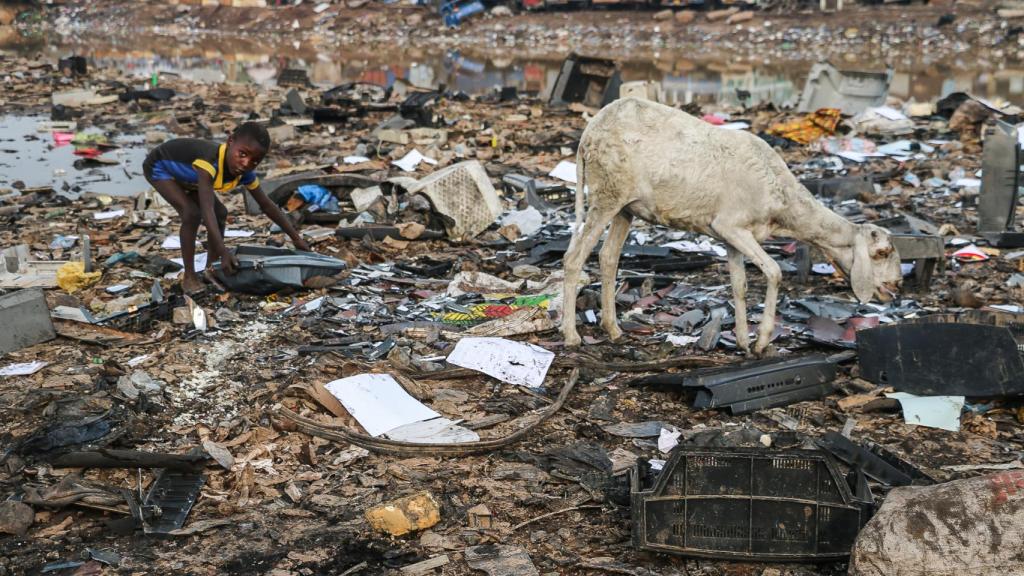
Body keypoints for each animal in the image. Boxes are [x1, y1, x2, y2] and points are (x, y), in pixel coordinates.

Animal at [561, 98, 905, 354]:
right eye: (881, 253)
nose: (897, 286)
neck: (784, 202)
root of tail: (589, 131)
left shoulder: (729, 236)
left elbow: (739, 285)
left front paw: (741, 340)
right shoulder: (732, 226)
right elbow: (773, 272)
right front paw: (762, 340)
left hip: (625, 207)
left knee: (608, 258)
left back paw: (613, 329)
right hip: (606, 193)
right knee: (573, 258)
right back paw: (571, 335)